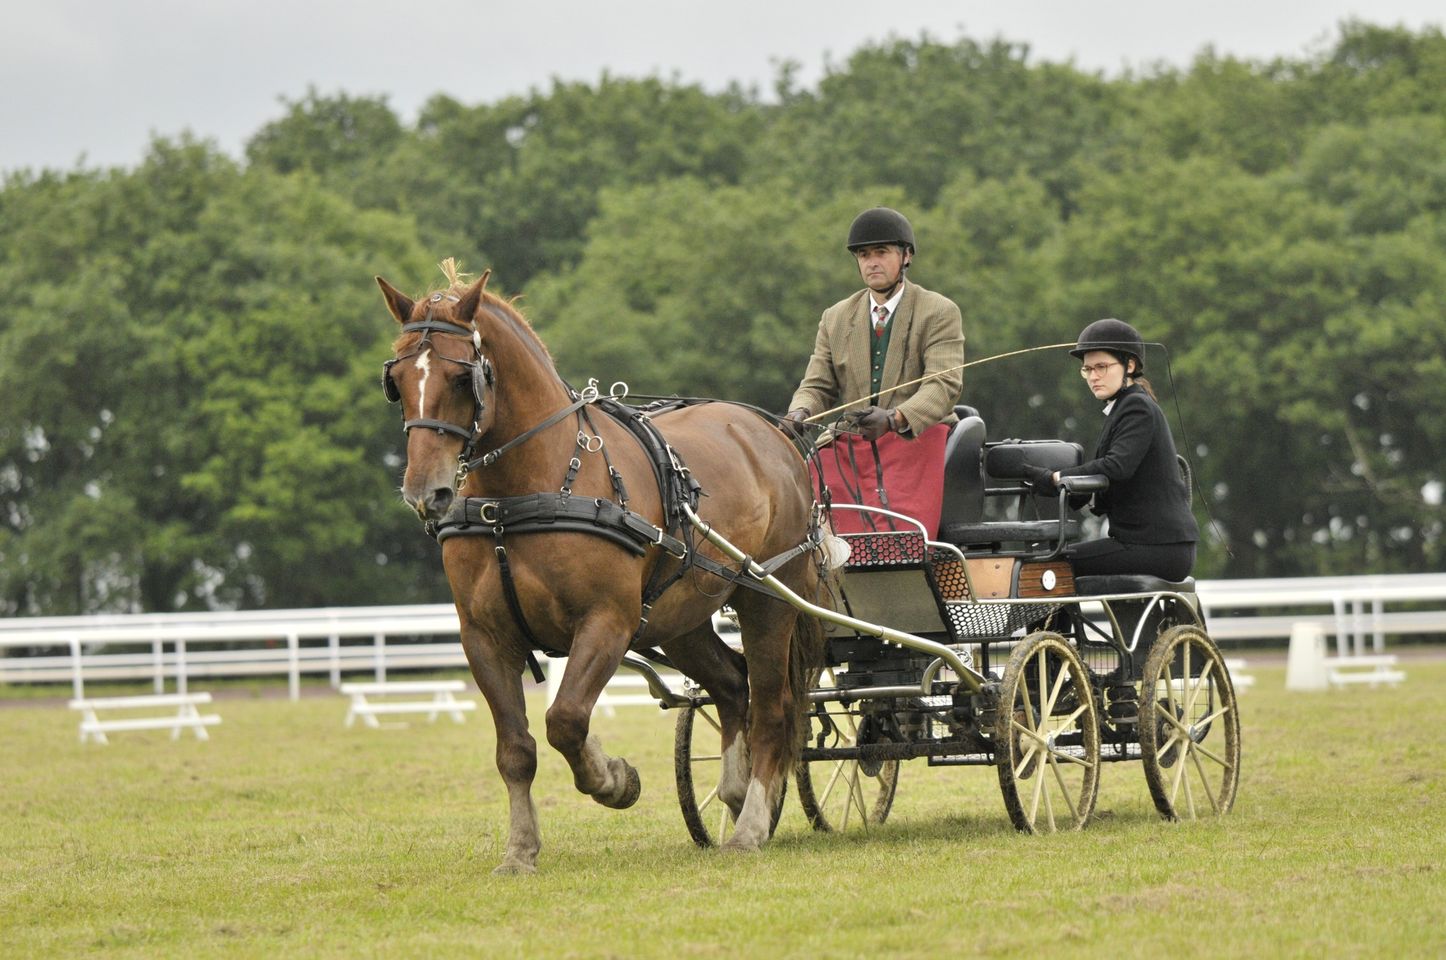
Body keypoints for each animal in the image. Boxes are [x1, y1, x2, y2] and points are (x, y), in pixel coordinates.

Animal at [375, 271, 827, 879]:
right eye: (397, 379)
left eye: (460, 375)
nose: (427, 493)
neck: (520, 496)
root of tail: (773, 432)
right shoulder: (485, 637)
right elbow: (516, 749)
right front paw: (520, 850)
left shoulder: (607, 622)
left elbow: (566, 719)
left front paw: (615, 780)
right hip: (680, 618)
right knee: (733, 684)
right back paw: (733, 795)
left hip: (767, 601)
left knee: (774, 708)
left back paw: (751, 826)